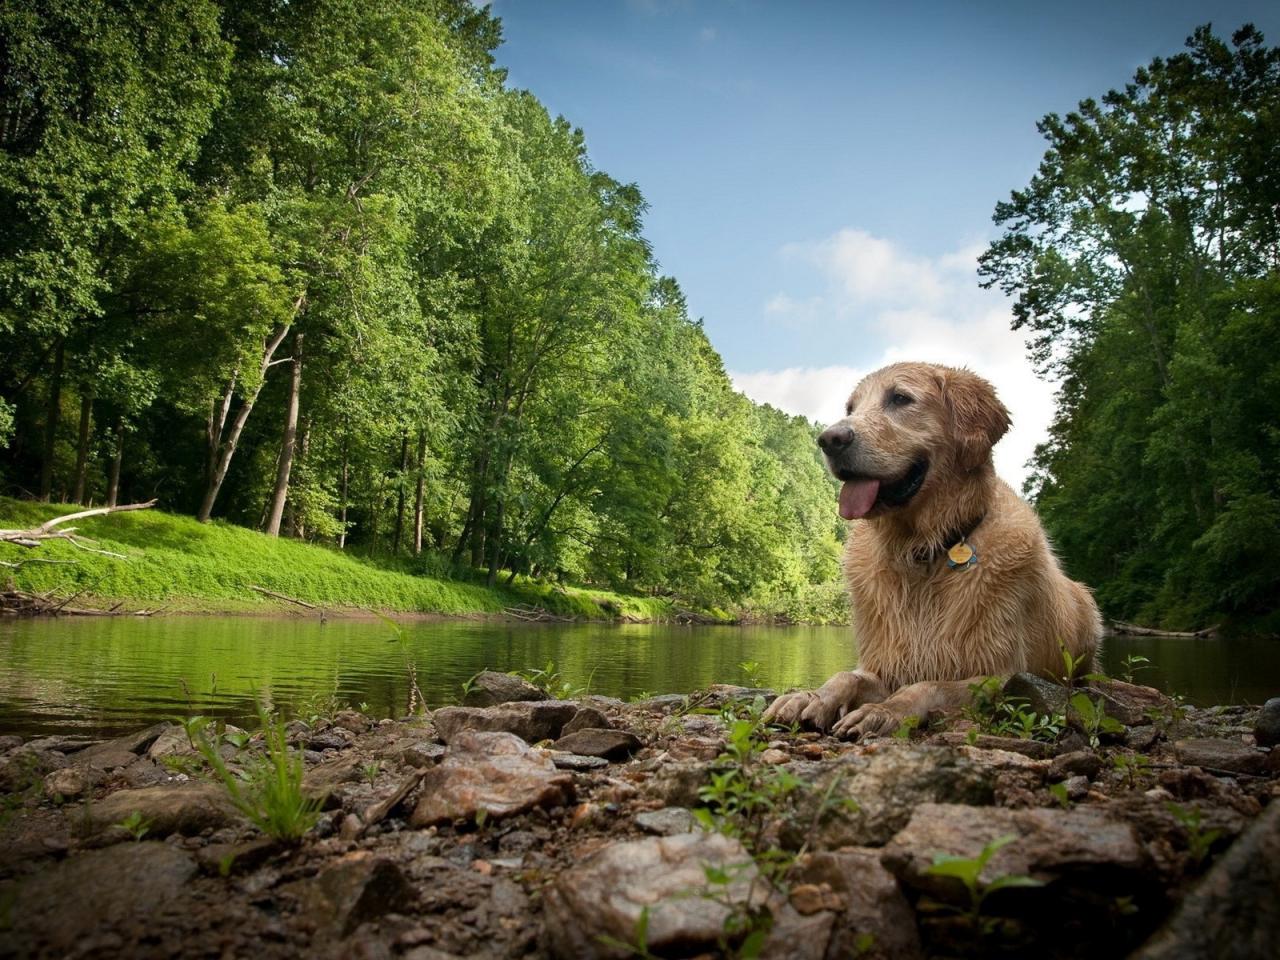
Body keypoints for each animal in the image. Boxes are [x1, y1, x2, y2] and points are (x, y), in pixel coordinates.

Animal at [757, 363, 1100, 742]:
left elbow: (927, 686)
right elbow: (844, 676)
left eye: (900, 398)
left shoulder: (999, 674)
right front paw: (807, 698)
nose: (830, 439)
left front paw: (881, 712)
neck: (922, 551)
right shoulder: (886, 664)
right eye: (851, 408)